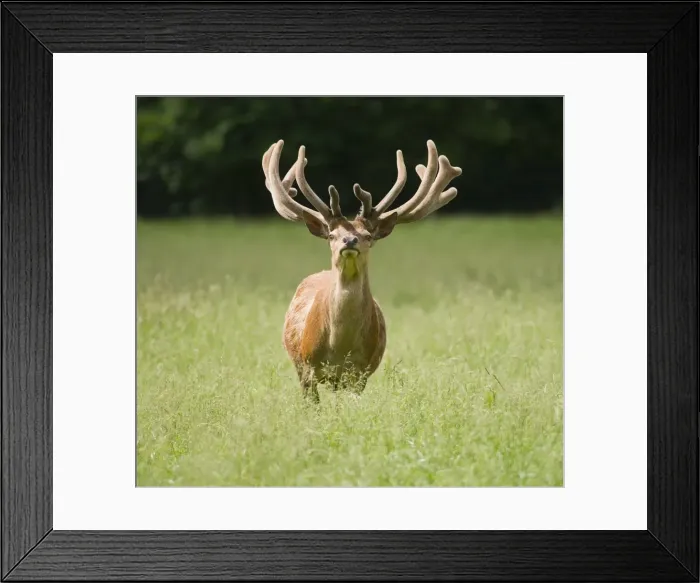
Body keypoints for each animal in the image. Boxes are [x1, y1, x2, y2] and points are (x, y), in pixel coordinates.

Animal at [262, 139, 462, 403]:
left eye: (367, 235)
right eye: (332, 235)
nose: (349, 240)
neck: (339, 347)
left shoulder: (359, 373)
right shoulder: (307, 368)